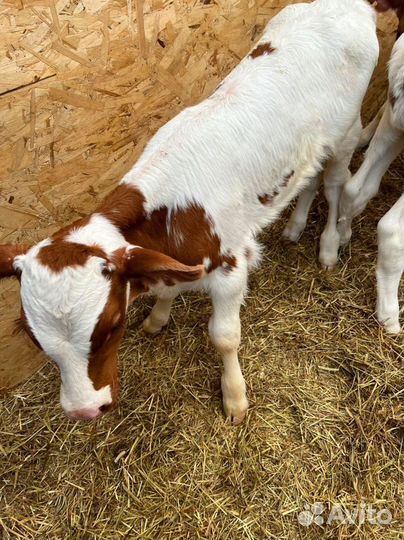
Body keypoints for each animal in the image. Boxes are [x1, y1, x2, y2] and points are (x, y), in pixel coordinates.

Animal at [0, 0, 378, 422]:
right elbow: (170, 281)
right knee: (309, 178)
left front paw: (234, 397)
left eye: (111, 326)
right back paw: (294, 227)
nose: (84, 410)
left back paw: (328, 247)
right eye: (32, 335)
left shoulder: (231, 268)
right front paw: (158, 317)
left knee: (335, 184)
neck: (172, 210)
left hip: (347, 131)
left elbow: (225, 337)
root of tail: (347, 6)